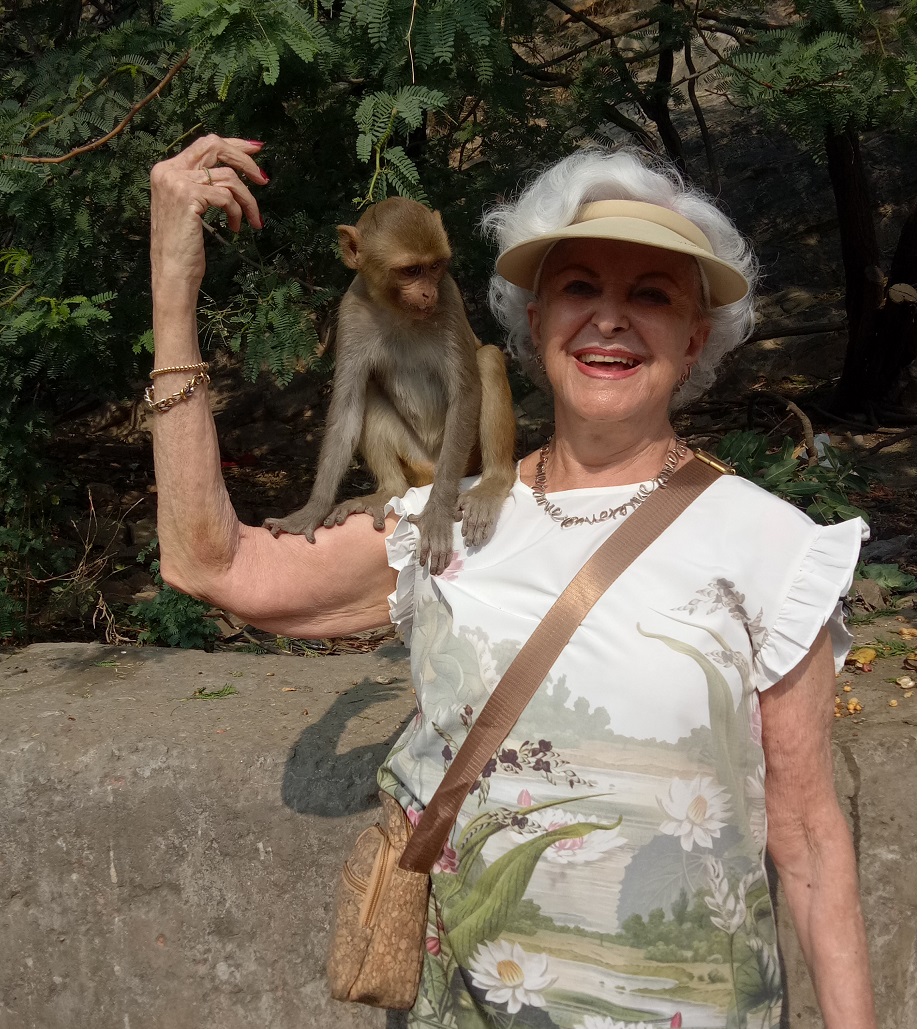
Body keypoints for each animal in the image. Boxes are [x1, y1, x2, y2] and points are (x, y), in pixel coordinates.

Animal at [263, 194, 518, 580]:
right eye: (410, 271)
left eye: (435, 266)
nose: (427, 293)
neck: (398, 310)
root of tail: (428, 471)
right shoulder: (351, 311)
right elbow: (348, 404)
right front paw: (312, 510)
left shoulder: (449, 297)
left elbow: (465, 393)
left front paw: (437, 514)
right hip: (415, 458)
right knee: (368, 393)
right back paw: (389, 490)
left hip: (458, 458)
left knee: (487, 359)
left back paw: (493, 482)